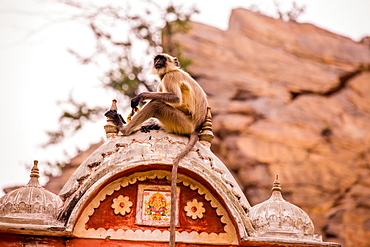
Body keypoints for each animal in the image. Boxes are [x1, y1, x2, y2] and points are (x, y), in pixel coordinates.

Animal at [105, 54, 208, 247]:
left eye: (162, 59)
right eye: (156, 60)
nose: (158, 63)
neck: (171, 70)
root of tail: (195, 129)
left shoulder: (170, 77)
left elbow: (174, 98)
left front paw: (140, 96)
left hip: (180, 121)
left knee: (157, 104)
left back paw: (124, 128)